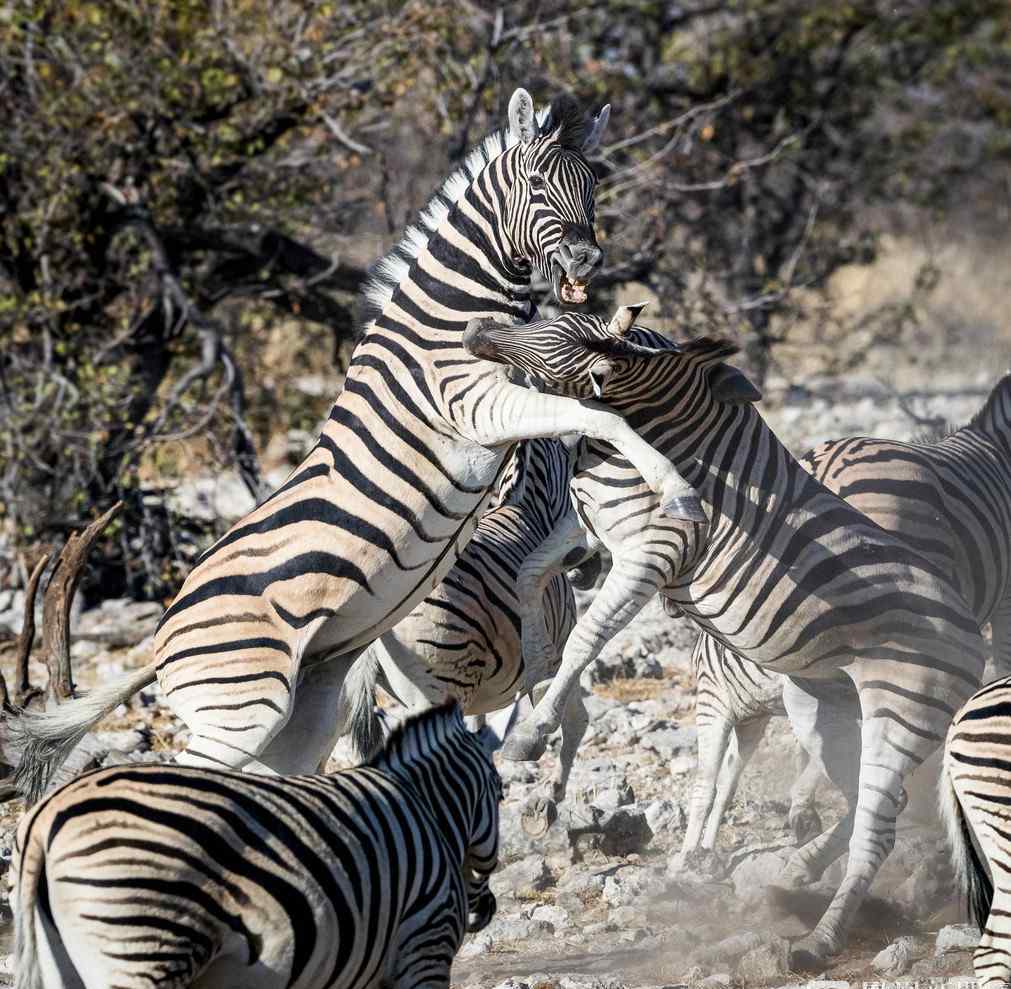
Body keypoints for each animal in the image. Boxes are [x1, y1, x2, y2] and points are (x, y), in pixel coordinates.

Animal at [7, 86, 707, 800]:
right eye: (538, 185)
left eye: (594, 186)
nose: (588, 261)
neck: (452, 312)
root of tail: (159, 639)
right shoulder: (478, 404)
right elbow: (596, 419)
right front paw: (677, 490)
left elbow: (586, 412)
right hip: (240, 712)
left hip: (300, 718)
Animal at [13, 699, 503, 986]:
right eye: (501, 794)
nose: (484, 912)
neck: (430, 811)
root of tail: (44, 820)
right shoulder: (425, 943)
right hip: (143, 943)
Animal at [467, 305, 994, 966]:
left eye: (563, 335)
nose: (476, 329)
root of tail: (974, 638)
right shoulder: (588, 532)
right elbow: (530, 574)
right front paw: (536, 670)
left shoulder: (653, 553)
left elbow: (590, 633)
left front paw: (530, 732)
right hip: (823, 710)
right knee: (873, 800)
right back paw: (798, 875)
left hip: (901, 710)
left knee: (878, 829)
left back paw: (818, 940)